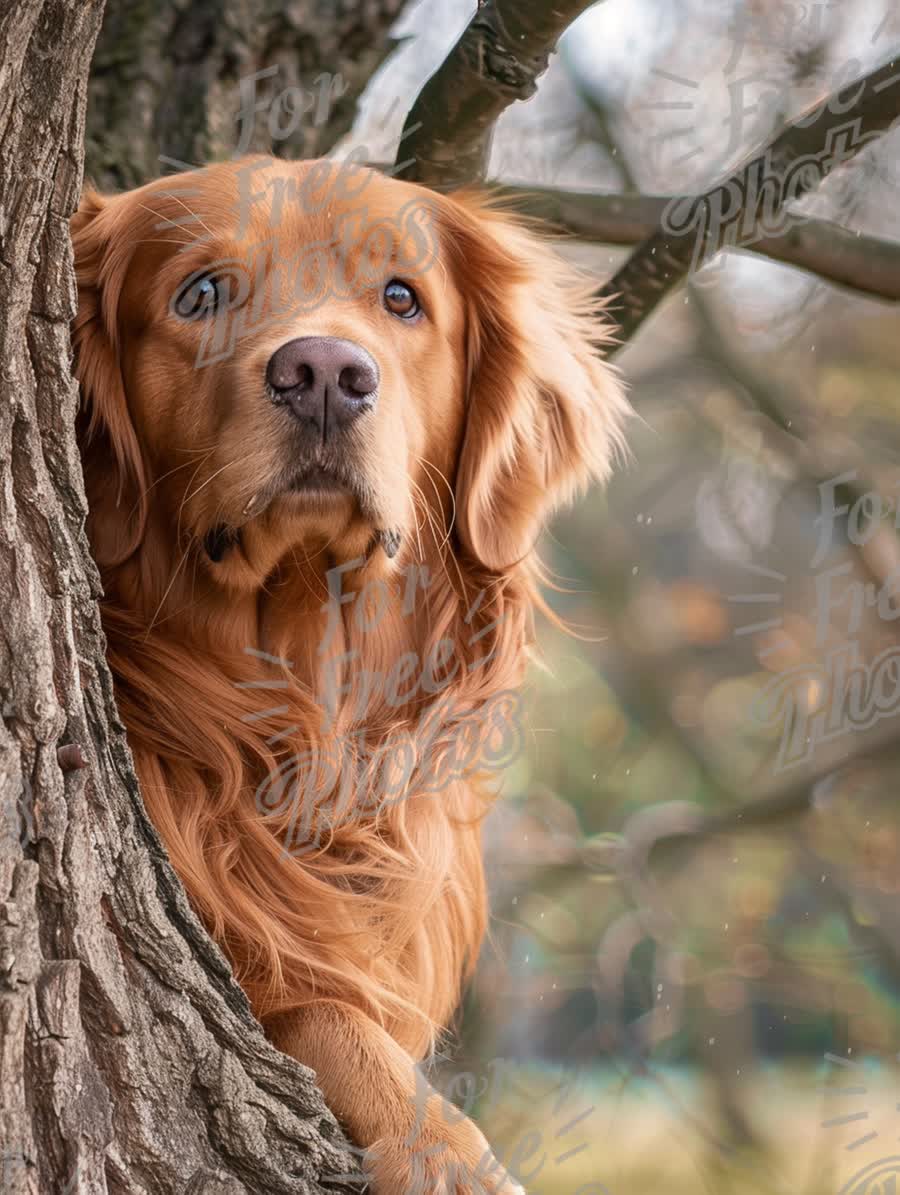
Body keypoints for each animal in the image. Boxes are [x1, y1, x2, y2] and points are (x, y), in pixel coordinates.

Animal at [70, 154, 626, 1190]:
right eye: (202, 293)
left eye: (401, 298)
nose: (325, 372)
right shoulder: (252, 972)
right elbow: (327, 1009)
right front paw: (444, 1149)